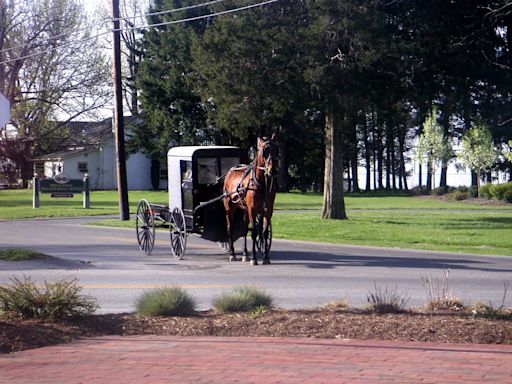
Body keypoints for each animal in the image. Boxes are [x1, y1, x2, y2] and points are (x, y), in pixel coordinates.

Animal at [223, 134, 276, 264]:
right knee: (230, 228)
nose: (272, 170)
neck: (262, 183)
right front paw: (254, 259)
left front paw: (265, 257)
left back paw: (245, 254)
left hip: (245, 209)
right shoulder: (252, 209)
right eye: (264, 150)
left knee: (244, 229)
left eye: (276, 149)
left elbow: (264, 233)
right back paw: (232, 253)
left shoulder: (268, 210)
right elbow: (255, 233)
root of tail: (230, 172)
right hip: (229, 207)